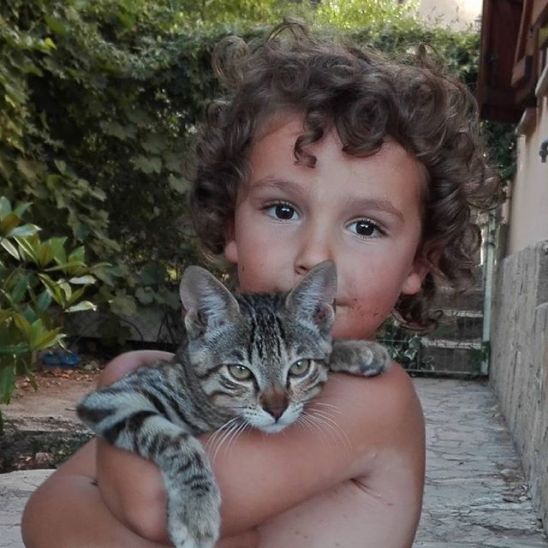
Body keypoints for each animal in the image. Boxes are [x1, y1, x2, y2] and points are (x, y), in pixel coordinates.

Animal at [77, 260, 391, 548]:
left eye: (299, 367)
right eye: (240, 372)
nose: (276, 410)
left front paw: (357, 350)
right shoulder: (114, 397)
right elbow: (178, 440)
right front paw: (195, 514)